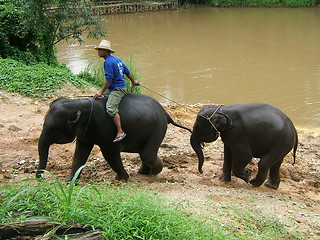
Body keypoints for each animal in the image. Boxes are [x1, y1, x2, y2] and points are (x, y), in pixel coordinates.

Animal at [37, 93, 192, 181]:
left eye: (54, 130)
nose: (40, 179)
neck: (80, 105)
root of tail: (166, 113)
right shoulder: (85, 132)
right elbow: (80, 152)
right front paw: (70, 181)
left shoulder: (106, 131)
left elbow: (109, 152)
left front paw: (121, 178)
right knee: (145, 152)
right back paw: (144, 172)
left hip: (158, 127)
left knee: (147, 153)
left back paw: (154, 173)